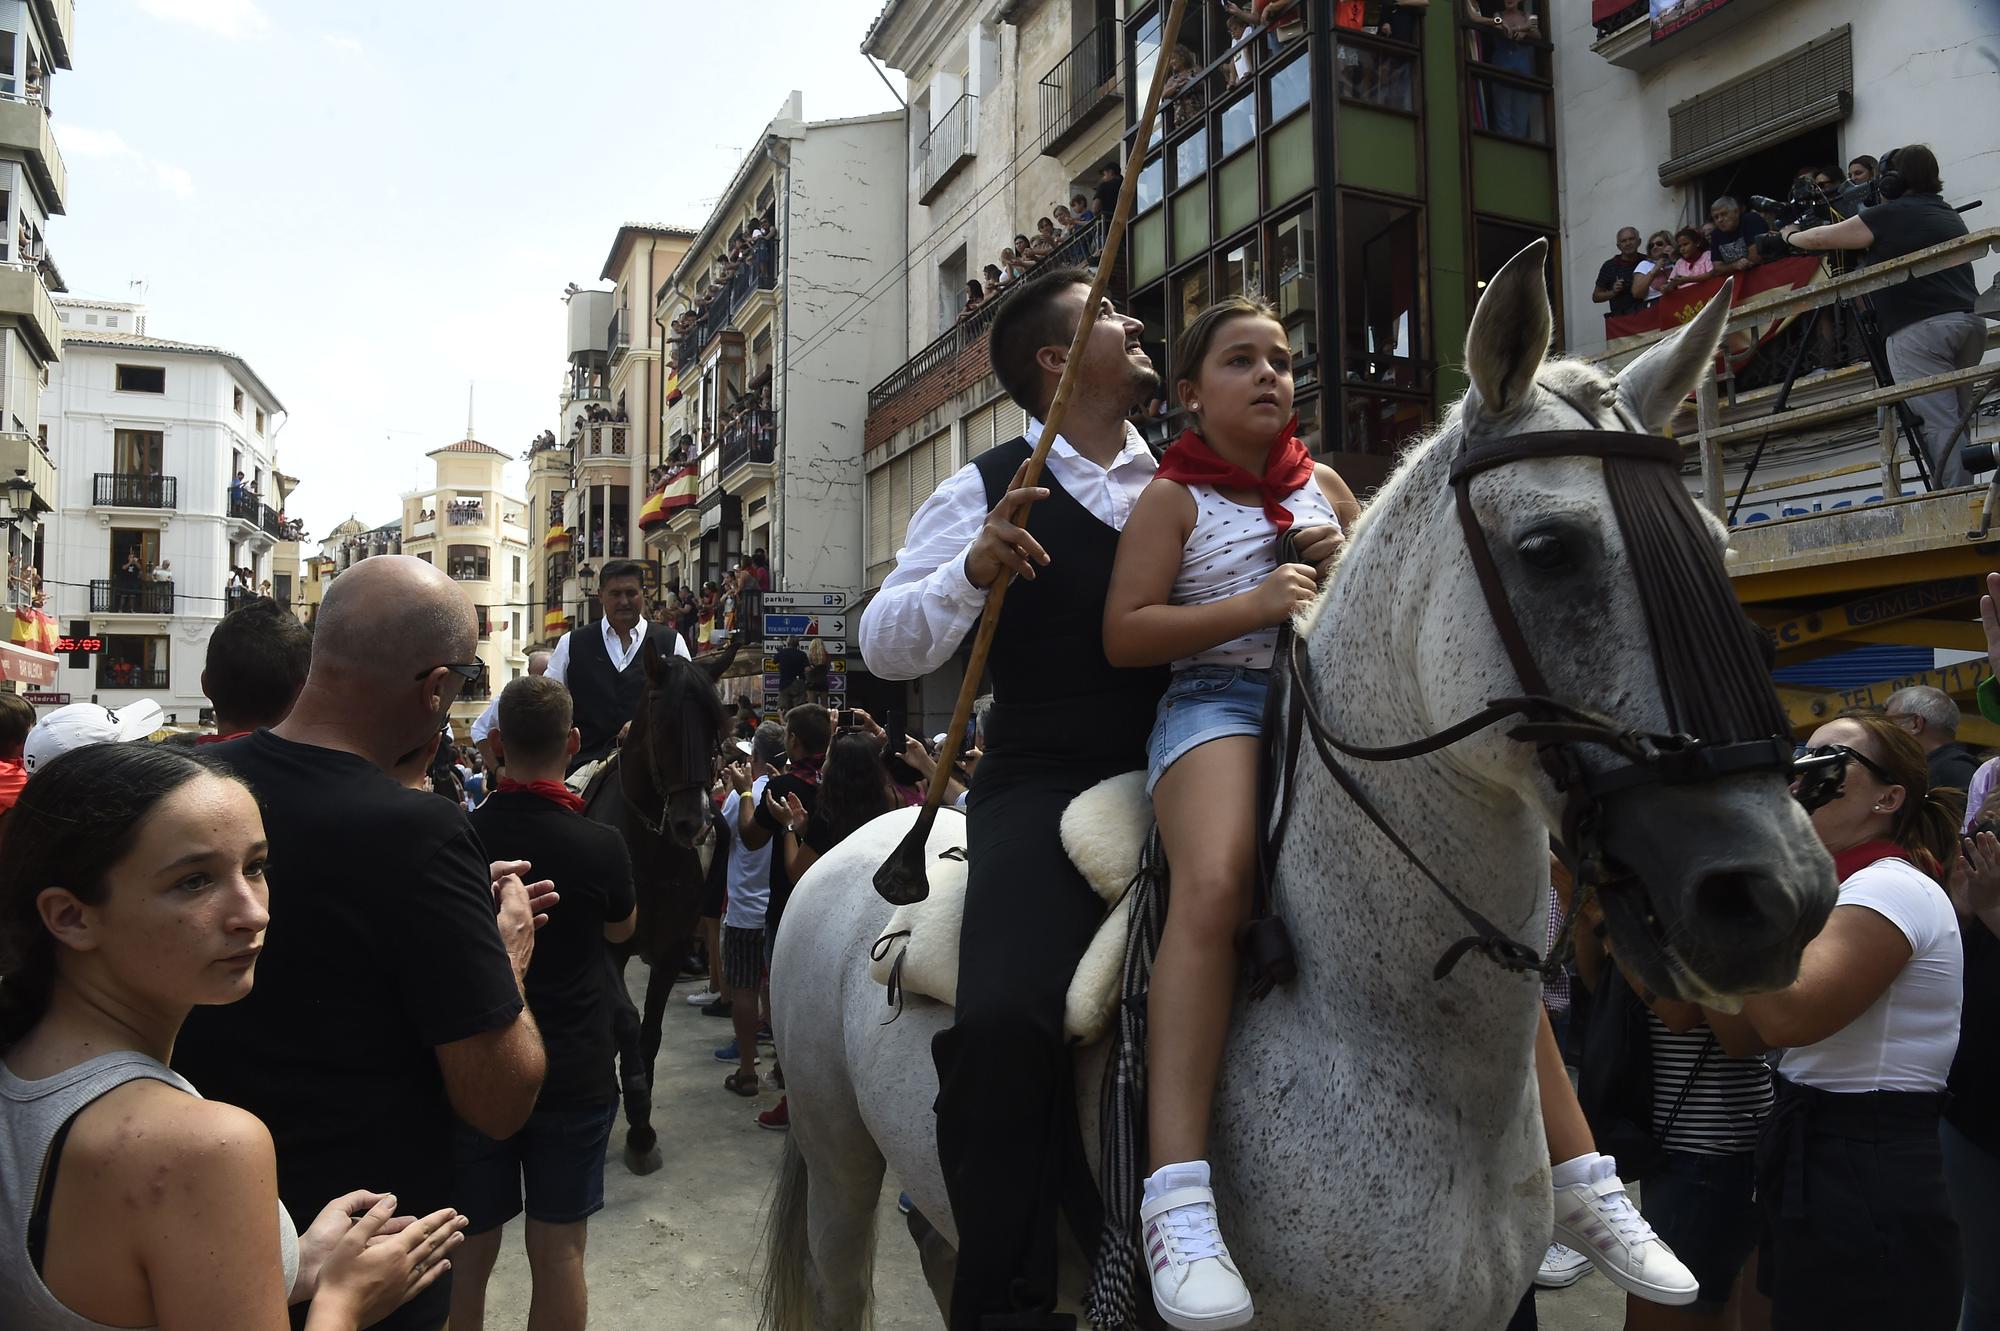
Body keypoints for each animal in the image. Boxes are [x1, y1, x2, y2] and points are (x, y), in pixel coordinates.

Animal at [584, 639, 740, 1167]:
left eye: (714, 726)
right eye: (663, 724)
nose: (692, 824)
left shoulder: (671, 949)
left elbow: (649, 1030)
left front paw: (641, 1122)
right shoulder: (605, 950)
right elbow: (627, 1023)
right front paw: (633, 1112)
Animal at [764, 240, 1840, 1327]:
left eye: (1715, 543)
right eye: (1549, 550)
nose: (1776, 894)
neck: (1394, 1038)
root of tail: (868, 844)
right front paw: (990, 549)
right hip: (839, 1155)